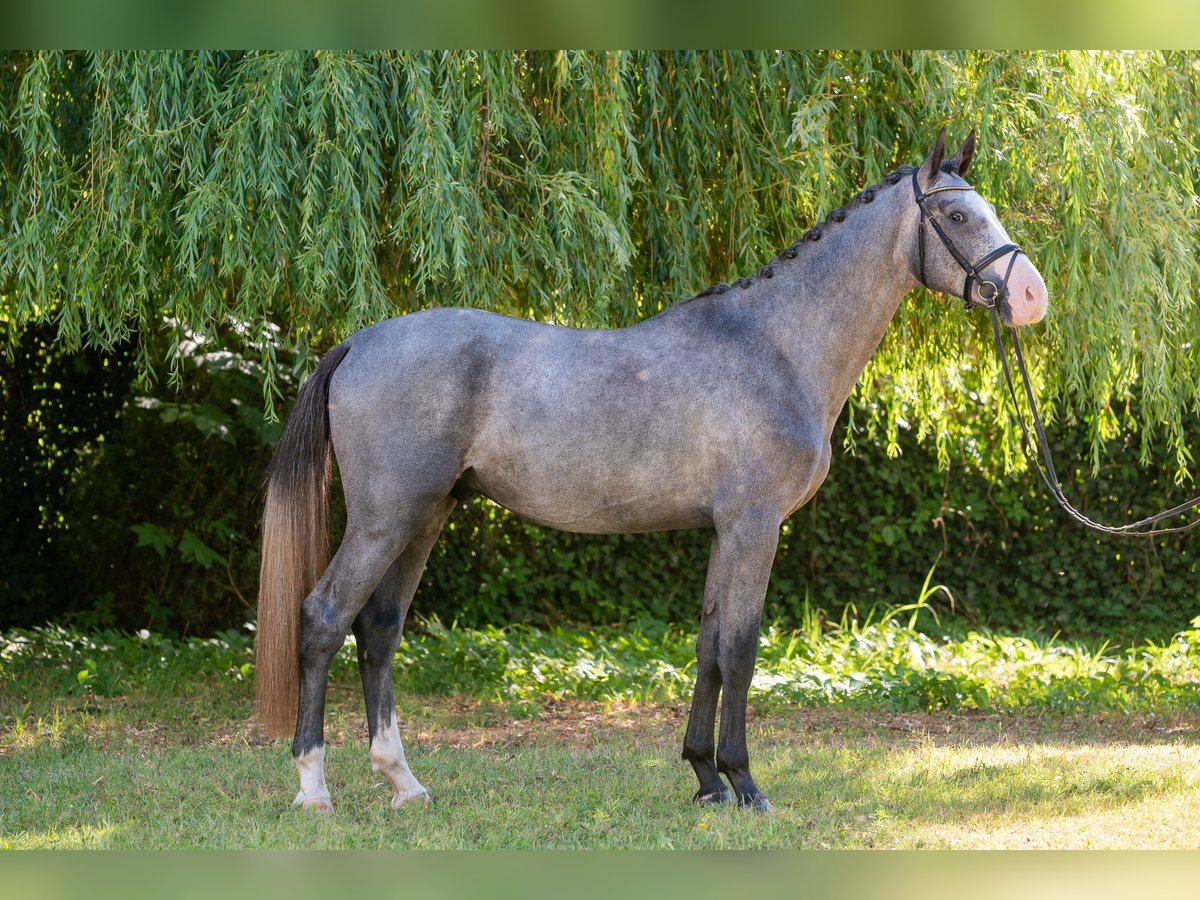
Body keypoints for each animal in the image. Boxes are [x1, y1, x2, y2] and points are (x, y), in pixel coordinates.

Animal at [255, 129, 1048, 812]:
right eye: (956, 214)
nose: (1031, 297)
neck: (774, 347)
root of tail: (359, 341)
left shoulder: (724, 530)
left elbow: (708, 648)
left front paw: (705, 779)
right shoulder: (756, 525)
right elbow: (741, 649)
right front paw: (745, 783)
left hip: (426, 515)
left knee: (379, 631)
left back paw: (403, 782)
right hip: (384, 519)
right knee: (324, 619)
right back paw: (313, 788)